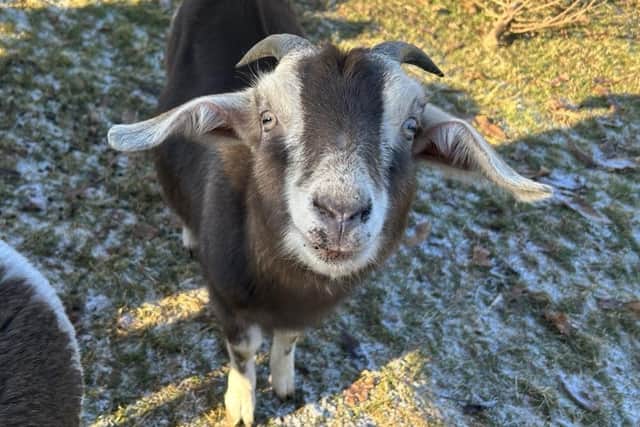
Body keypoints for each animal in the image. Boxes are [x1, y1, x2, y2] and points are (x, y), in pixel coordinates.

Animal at [108, 0, 552, 424]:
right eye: (267, 118)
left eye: (411, 128)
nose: (340, 212)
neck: (284, 284)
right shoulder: (226, 295)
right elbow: (243, 350)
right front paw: (241, 407)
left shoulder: (303, 309)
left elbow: (288, 339)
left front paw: (284, 384)